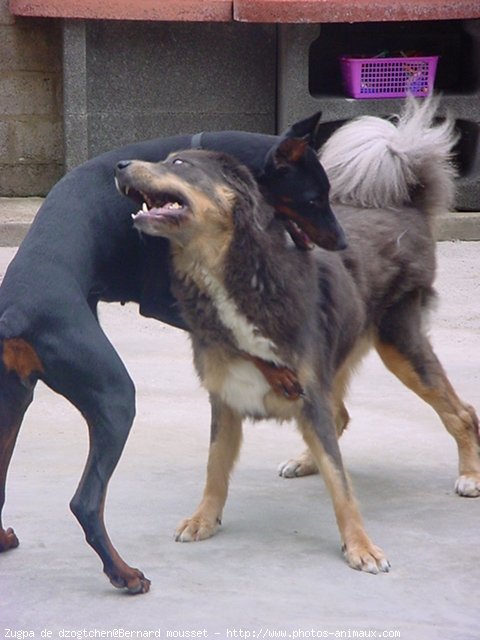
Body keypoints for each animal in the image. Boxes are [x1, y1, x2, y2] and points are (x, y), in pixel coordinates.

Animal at [117, 100, 480, 576]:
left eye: (179, 163)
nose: (121, 165)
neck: (240, 273)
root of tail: (407, 207)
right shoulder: (228, 397)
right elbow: (215, 469)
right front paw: (204, 518)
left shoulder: (306, 389)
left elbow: (341, 485)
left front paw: (360, 545)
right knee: (339, 416)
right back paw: (306, 459)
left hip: (399, 346)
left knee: (461, 413)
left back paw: (470, 474)